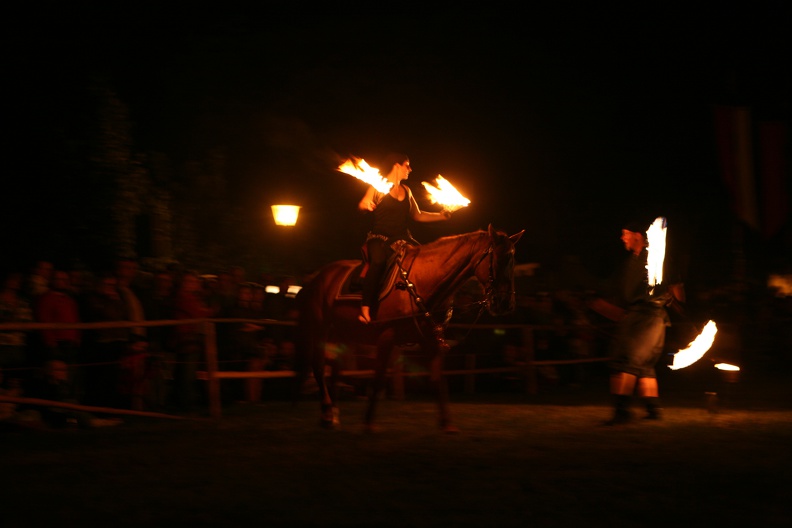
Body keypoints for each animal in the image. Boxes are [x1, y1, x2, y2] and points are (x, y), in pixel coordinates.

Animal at [294, 224, 524, 434]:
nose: (506, 304)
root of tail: (316, 278)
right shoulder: (387, 337)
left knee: (336, 369)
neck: (422, 281)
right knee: (318, 366)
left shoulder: (431, 340)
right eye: (501, 259)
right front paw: (368, 422)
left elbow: (437, 379)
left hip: (343, 333)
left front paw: (447, 424)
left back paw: (332, 413)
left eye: (513, 260)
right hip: (320, 328)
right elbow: (378, 378)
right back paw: (326, 412)